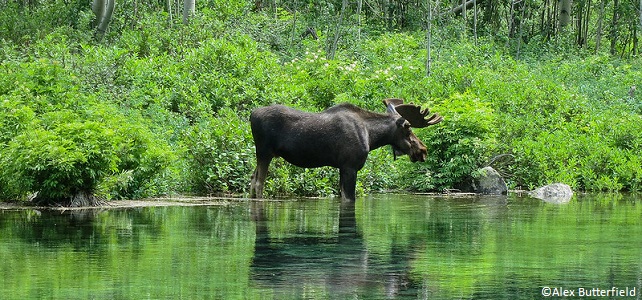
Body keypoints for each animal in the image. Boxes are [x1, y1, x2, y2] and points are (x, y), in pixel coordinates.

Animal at [249, 98, 440, 202]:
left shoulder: (342, 167)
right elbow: (349, 198)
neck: (371, 136)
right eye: (408, 128)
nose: (423, 150)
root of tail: (251, 114)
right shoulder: (350, 166)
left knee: (252, 180)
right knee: (259, 183)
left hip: (261, 154)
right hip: (264, 152)